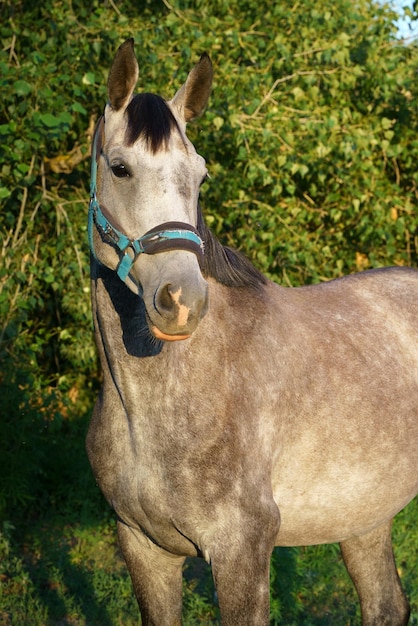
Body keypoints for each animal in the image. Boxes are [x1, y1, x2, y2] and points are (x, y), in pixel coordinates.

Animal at [86, 40, 416, 624]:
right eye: (120, 169)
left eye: (200, 176)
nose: (182, 301)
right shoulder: (143, 548)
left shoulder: (242, 550)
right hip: (365, 516)